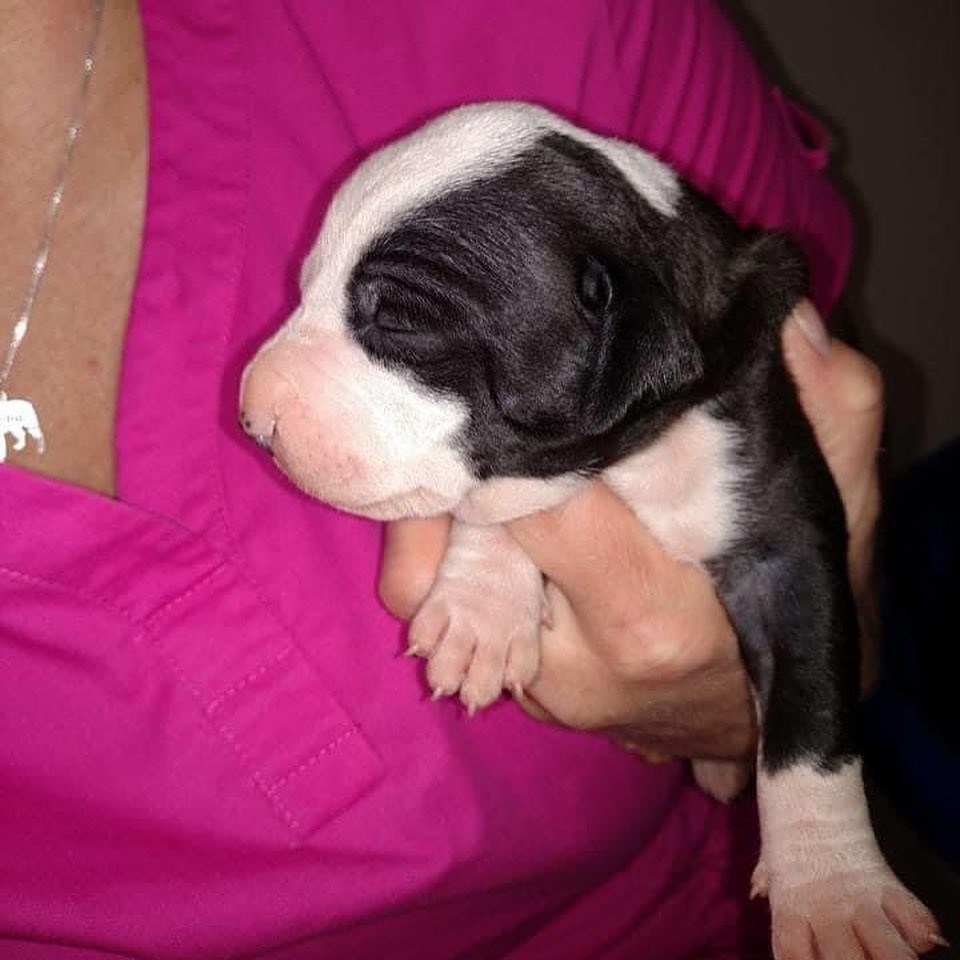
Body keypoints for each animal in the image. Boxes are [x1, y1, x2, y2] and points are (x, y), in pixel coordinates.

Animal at [240, 105, 944, 960]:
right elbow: (501, 499)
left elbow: (810, 716)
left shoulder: (787, 532)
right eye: (305, 283)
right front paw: (482, 609)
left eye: (399, 320)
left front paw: (838, 895)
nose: (250, 414)